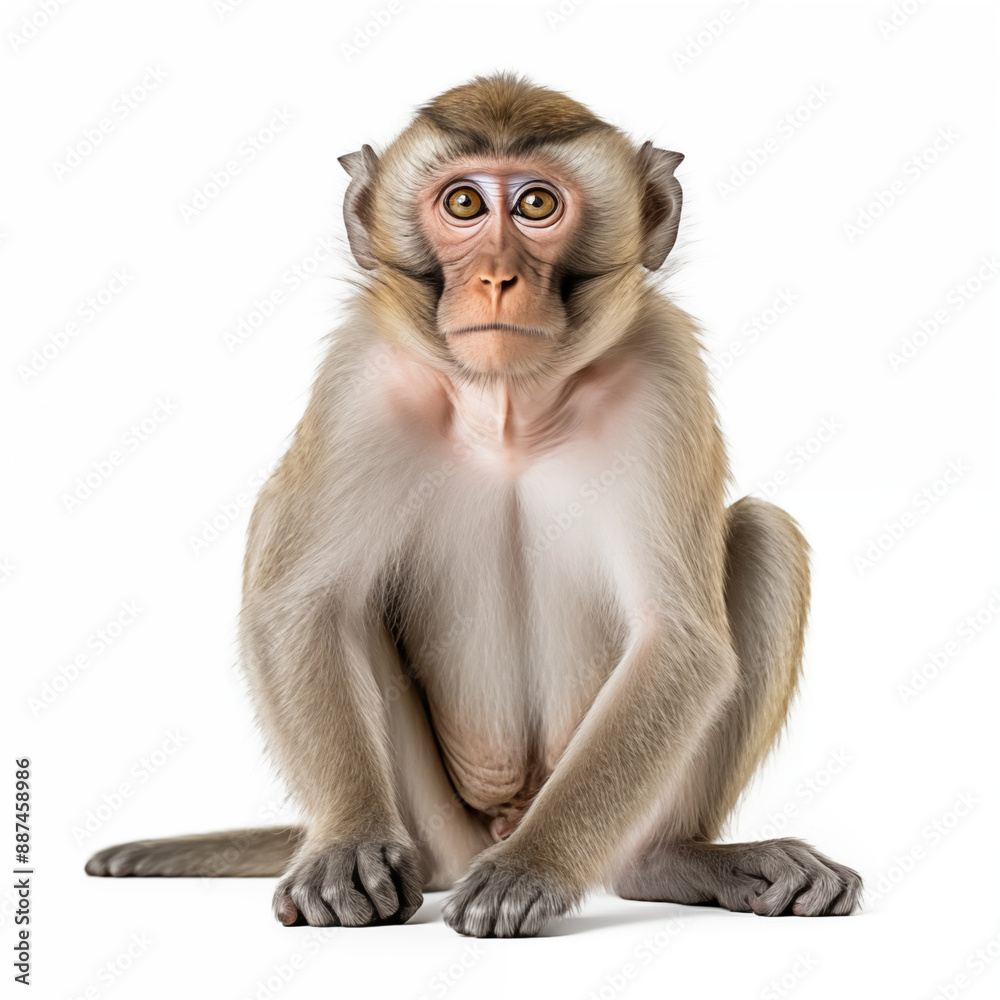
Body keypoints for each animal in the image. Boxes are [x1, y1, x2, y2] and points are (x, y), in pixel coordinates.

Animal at [86, 73, 862, 936]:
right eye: (463, 204)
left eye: (535, 205)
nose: (495, 276)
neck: (510, 409)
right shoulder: (362, 378)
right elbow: (303, 607)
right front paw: (346, 847)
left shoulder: (664, 374)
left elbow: (679, 640)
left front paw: (536, 867)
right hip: (436, 825)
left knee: (764, 533)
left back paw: (671, 859)